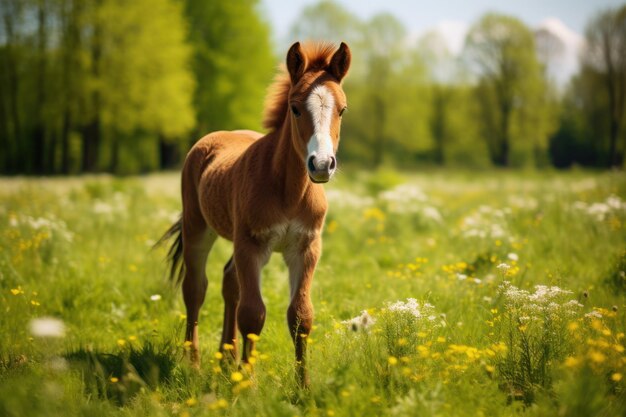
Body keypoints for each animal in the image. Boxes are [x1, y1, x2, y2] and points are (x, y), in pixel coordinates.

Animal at [157, 41, 352, 384]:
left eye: (341, 110)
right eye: (295, 108)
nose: (321, 165)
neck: (289, 190)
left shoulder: (306, 247)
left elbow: (301, 316)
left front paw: (303, 387)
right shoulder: (251, 245)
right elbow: (253, 314)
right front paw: (247, 385)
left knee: (229, 281)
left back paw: (226, 358)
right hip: (198, 228)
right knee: (195, 289)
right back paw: (194, 364)